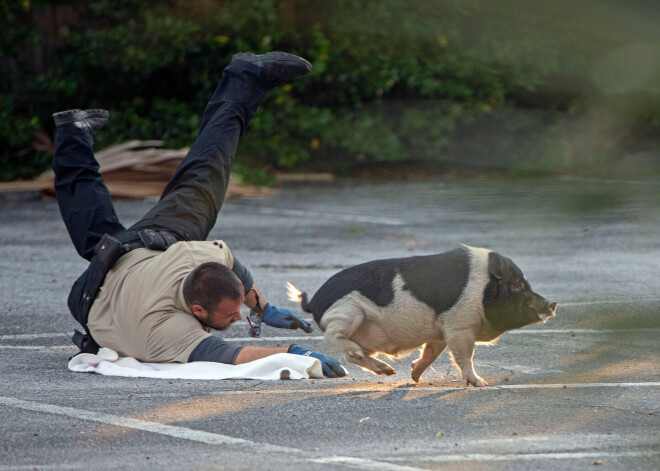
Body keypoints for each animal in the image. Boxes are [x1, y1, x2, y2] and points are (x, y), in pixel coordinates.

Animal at [288, 245, 556, 386]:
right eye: (518, 285)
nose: (552, 303)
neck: (483, 290)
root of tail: (314, 302)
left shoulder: (441, 331)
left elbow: (430, 353)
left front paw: (414, 376)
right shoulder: (459, 325)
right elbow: (464, 356)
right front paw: (480, 383)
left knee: (353, 357)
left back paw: (389, 372)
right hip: (347, 312)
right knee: (335, 340)